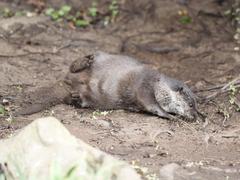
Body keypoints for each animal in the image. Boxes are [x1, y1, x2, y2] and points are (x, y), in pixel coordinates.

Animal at [14, 51, 201, 120]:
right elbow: (152, 104)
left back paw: (76, 97)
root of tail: (66, 84)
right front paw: (171, 116)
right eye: (191, 104)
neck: (158, 83)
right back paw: (85, 60)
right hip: (101, 57)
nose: (195, 116)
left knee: (76, 97)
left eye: (196, 107)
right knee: (74, 66)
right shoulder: (144, 85)